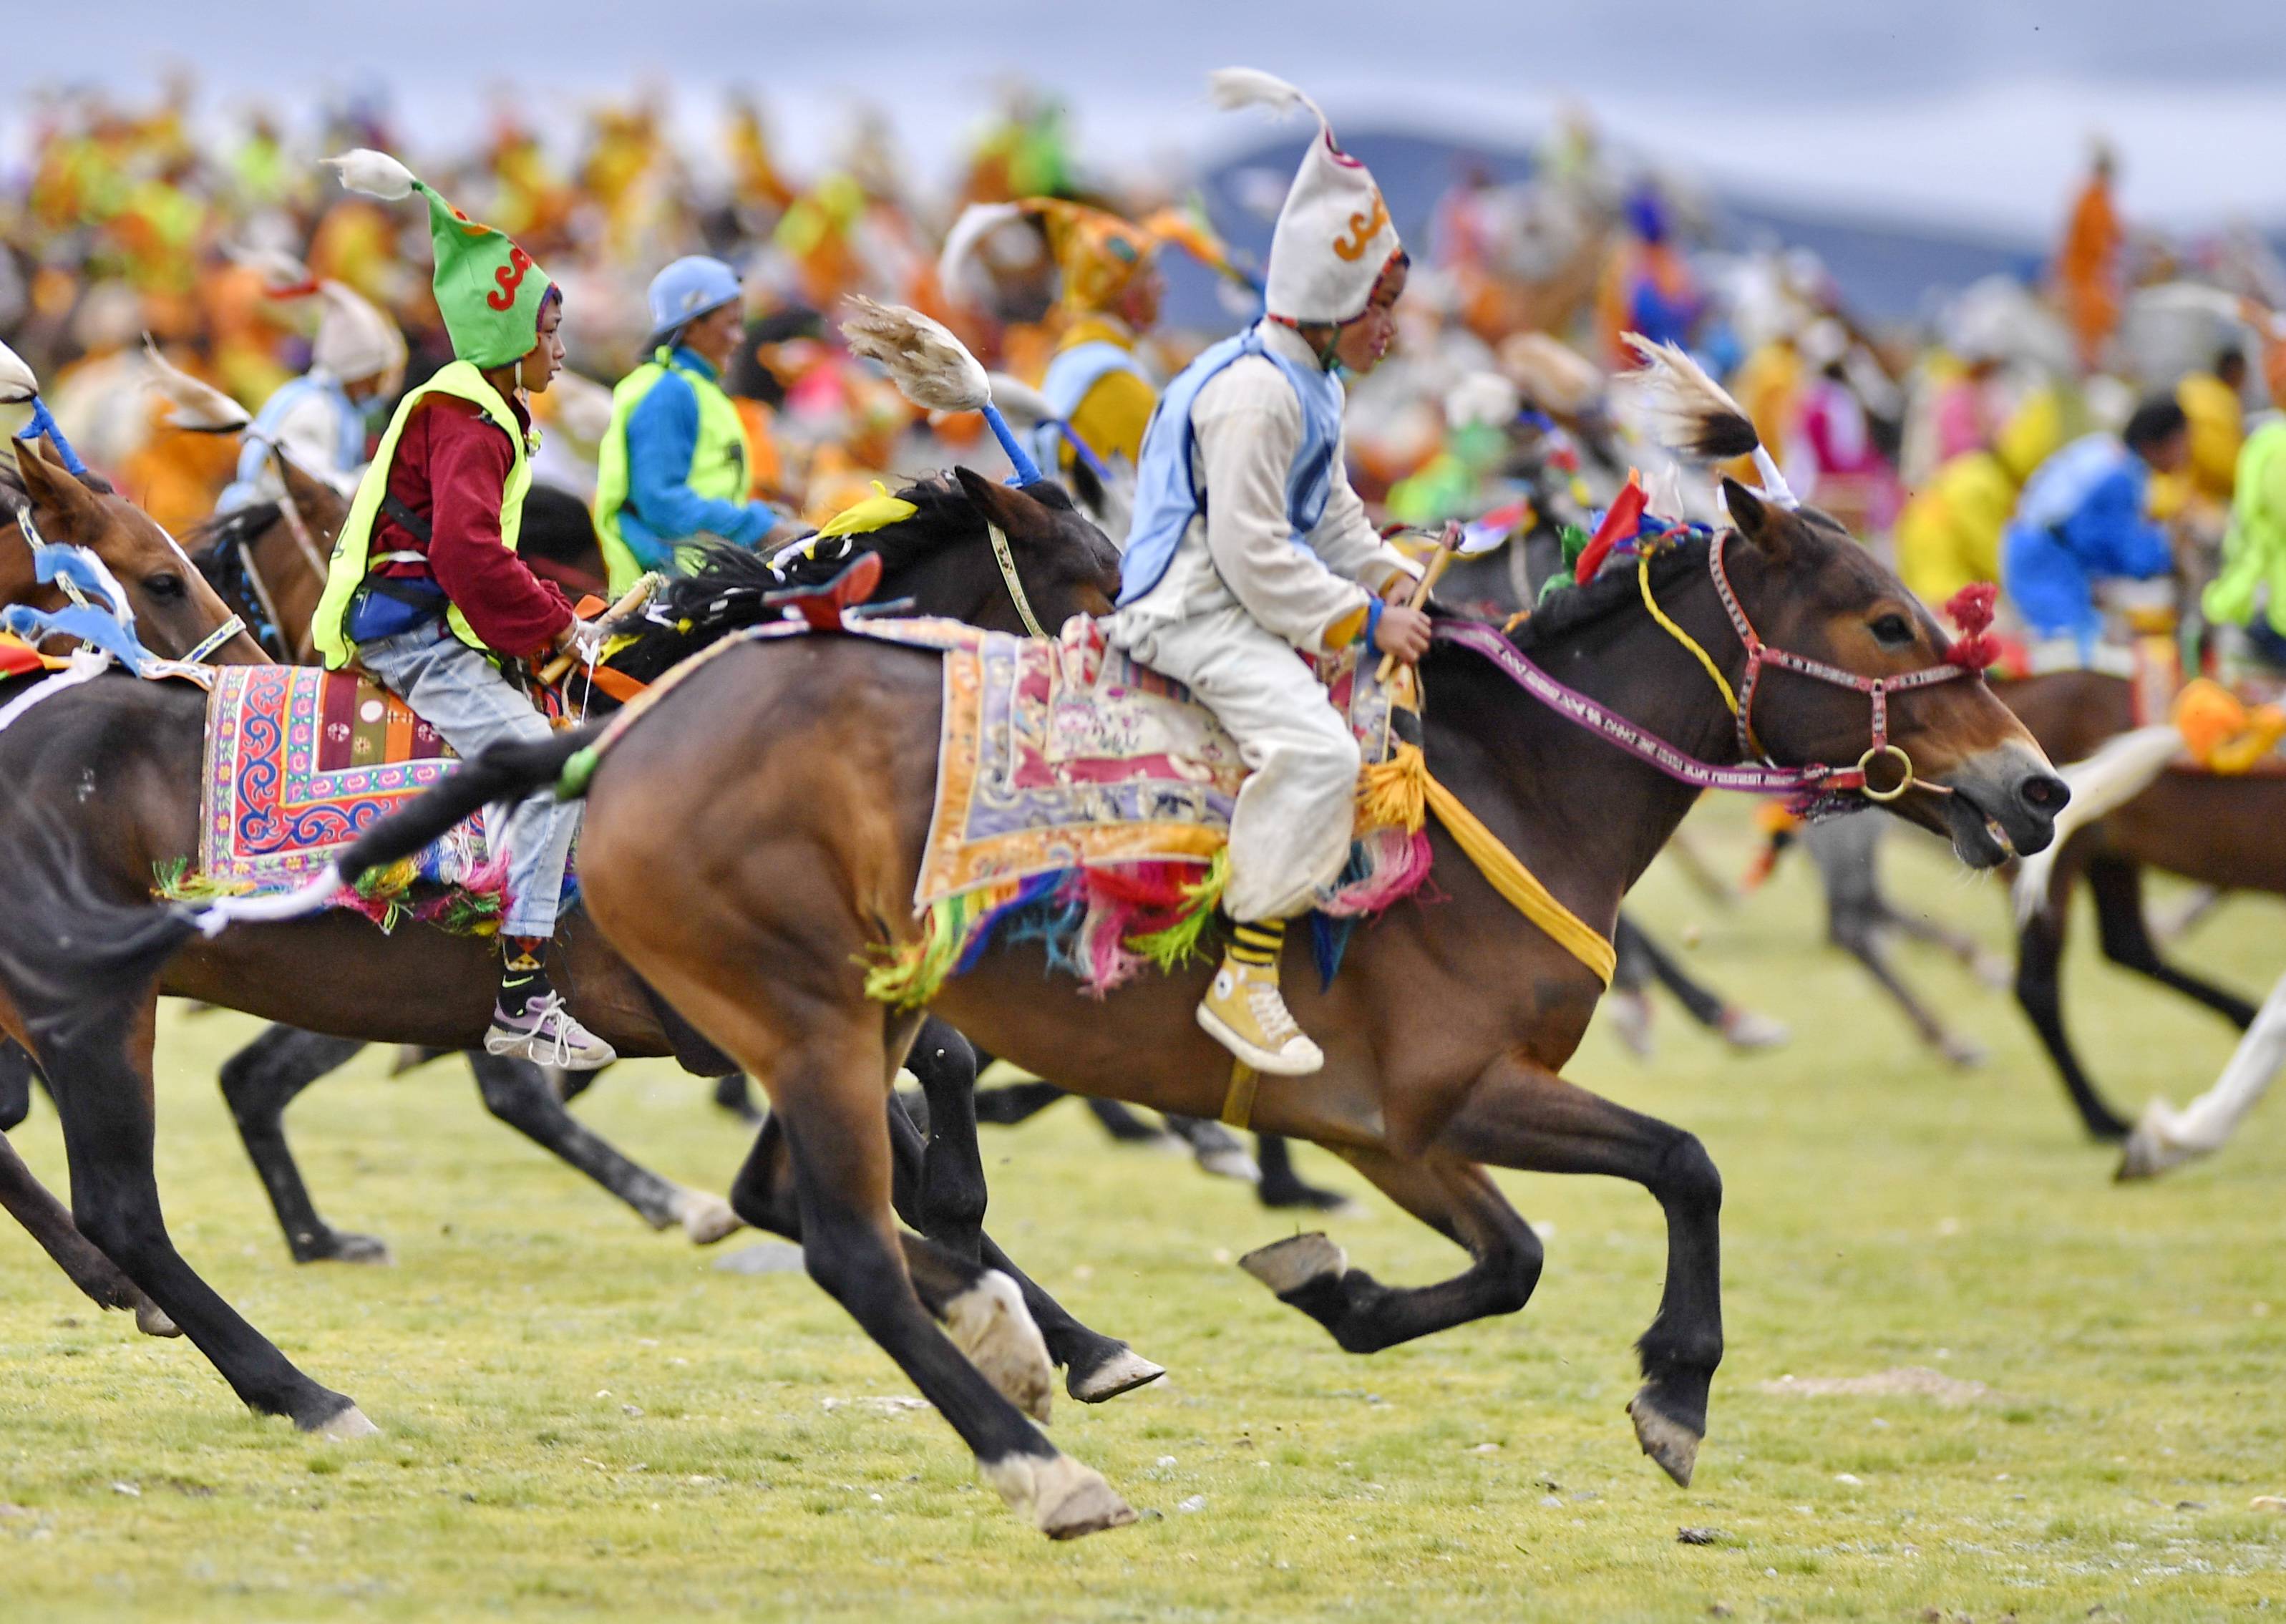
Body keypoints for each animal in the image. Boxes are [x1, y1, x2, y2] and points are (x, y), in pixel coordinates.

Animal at [281, 368, 2076, 1537]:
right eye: (1889, 623)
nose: (2037, 784)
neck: (1512, 789)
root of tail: (623, 741)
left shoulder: (1406, 1125)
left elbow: (1548, 1239)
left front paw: (1336, 1283)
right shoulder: (1439, 1101)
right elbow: (1650, 1184)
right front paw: (1664, 1387)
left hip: (815, 1021)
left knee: (796, 1196)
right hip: (797, 1014)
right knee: (838, 1229)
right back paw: (1040, 1445)